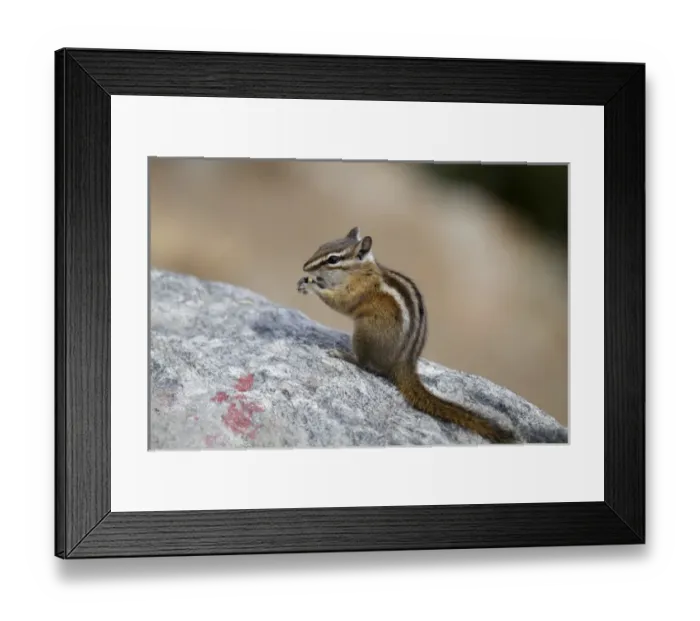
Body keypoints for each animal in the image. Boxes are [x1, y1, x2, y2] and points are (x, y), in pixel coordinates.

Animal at [297, 227, 517, 444]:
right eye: (321, 246)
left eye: (333, 259)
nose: (305, 267)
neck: (361, 271)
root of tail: (405, 363)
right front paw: (306, 281)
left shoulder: (357, 292)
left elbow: (340, 303)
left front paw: (312, 286)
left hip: (364, 332)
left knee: (364, 363)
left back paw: (344, 355)